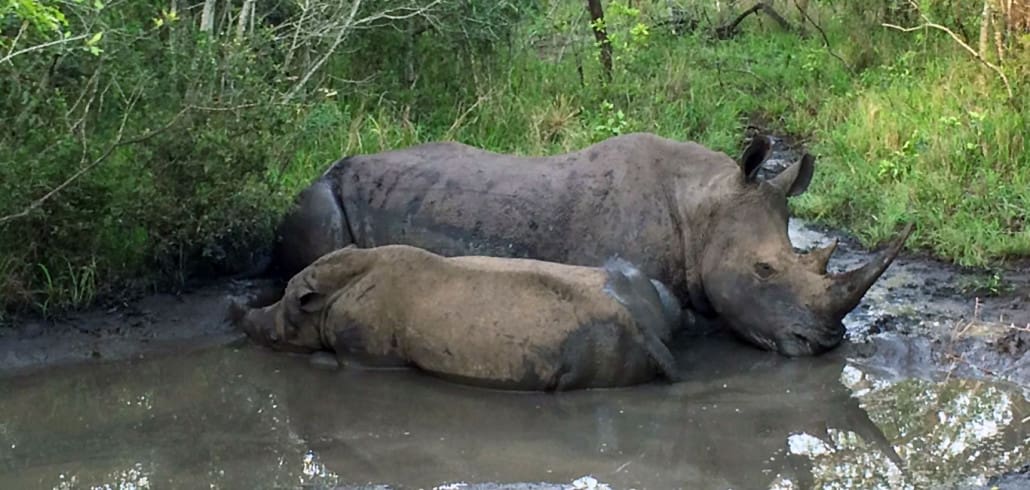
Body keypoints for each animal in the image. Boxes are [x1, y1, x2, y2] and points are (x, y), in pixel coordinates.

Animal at [233, 243, 683, 391]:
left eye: (276, 332)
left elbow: (327, 359)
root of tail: (645, 334)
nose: (248, 318)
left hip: (597, 346)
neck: (326, 297)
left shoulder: (364, 354)